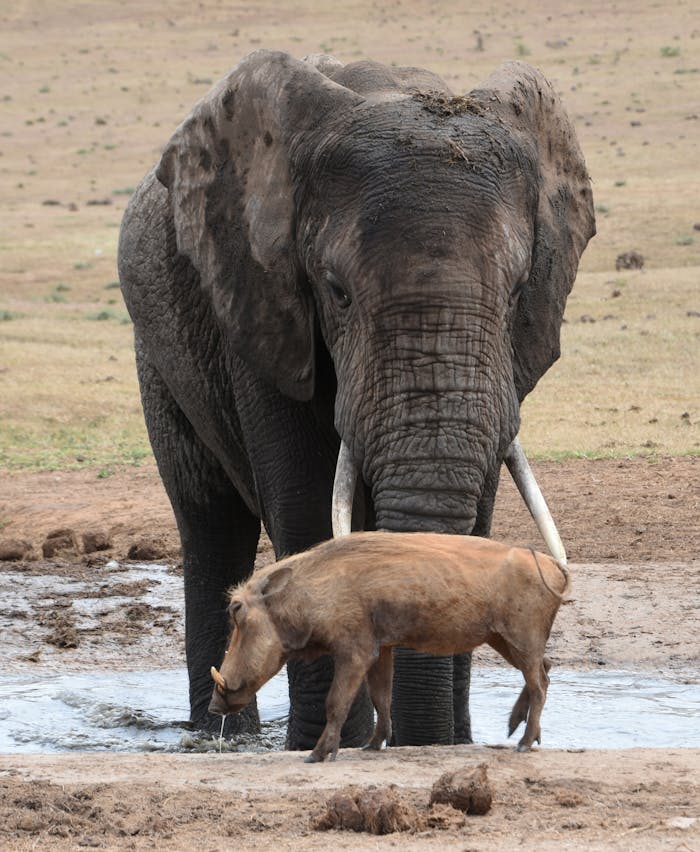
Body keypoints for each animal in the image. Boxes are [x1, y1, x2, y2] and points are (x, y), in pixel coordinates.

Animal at [118, 50, 595, 750]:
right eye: (336, 291)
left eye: (515, 293)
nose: (424, 740)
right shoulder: (263, 310)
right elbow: (309, 504)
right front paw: (327, 744)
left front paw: (443, 745)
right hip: (159, 351)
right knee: (209, 519)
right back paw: (221, 737)